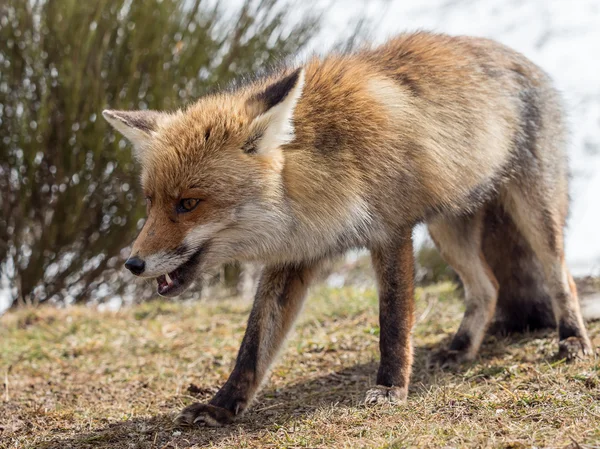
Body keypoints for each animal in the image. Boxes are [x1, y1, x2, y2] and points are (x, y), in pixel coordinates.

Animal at [103, 32, 592, 428]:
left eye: (188, 204)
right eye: (150, 201)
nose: (132, 264)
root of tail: (516, 54)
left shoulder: (391, 232)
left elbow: (392, 323)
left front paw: (391, 388)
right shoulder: (294, 254)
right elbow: (253, 346)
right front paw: (221, 406)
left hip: (534, 213)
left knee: (561, 276)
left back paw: (571, 339)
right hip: (448, 229)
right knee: (487, 288)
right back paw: (460, 348)